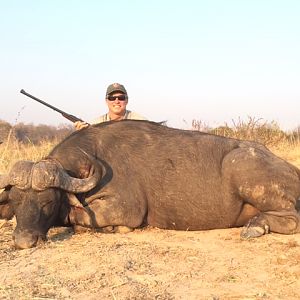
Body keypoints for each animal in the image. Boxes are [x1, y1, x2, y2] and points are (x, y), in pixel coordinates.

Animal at [0, 119, 300, 248]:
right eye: (16, 202)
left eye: (48, 201)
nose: (23, 241)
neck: (91, 159)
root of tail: (292, 170)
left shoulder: (125, 209)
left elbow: (80, 219)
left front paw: (112, 229)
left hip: (244, 171)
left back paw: (256, 227)